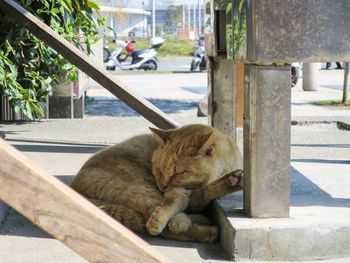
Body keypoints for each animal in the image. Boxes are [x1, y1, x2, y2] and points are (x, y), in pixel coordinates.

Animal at [70, 125, 242, 244]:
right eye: (158, 170)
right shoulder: (180, 194)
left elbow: (206, 191)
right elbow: (174, 203)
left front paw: (234, 179)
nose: (163, 186)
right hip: (140, 187)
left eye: (178, 173)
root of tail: (74, 186)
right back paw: (204, 229)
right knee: (159, 221)